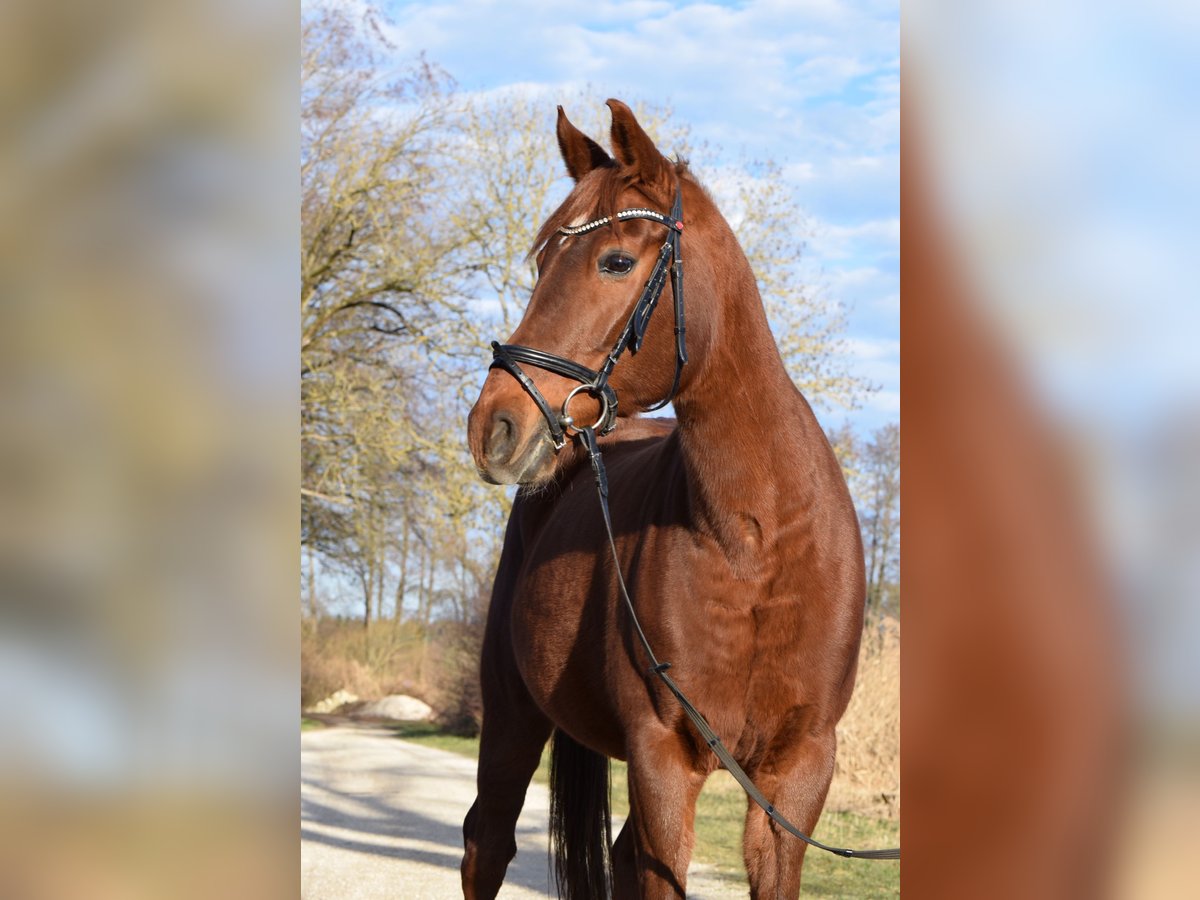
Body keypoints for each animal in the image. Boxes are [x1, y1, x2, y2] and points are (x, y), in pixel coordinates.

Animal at [458, 100, 864, 900]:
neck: (759, 541)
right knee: (486, 843)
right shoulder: (662, 759)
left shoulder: (797, 775)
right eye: (540, 261)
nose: (495, 427)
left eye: (615, 261)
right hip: (512, 715)